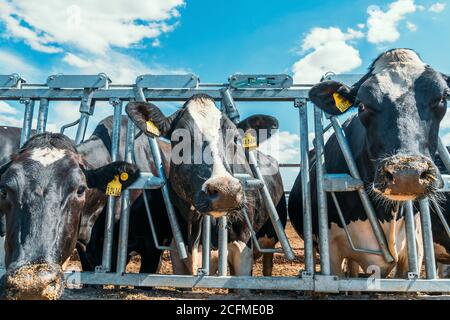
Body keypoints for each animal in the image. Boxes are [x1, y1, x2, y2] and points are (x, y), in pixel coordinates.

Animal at [290, 48, 448, 278]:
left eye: (443, 98)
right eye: (362, 105)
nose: (406, 174)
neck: (386, 215)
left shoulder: (414, 252)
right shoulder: (332, 252)